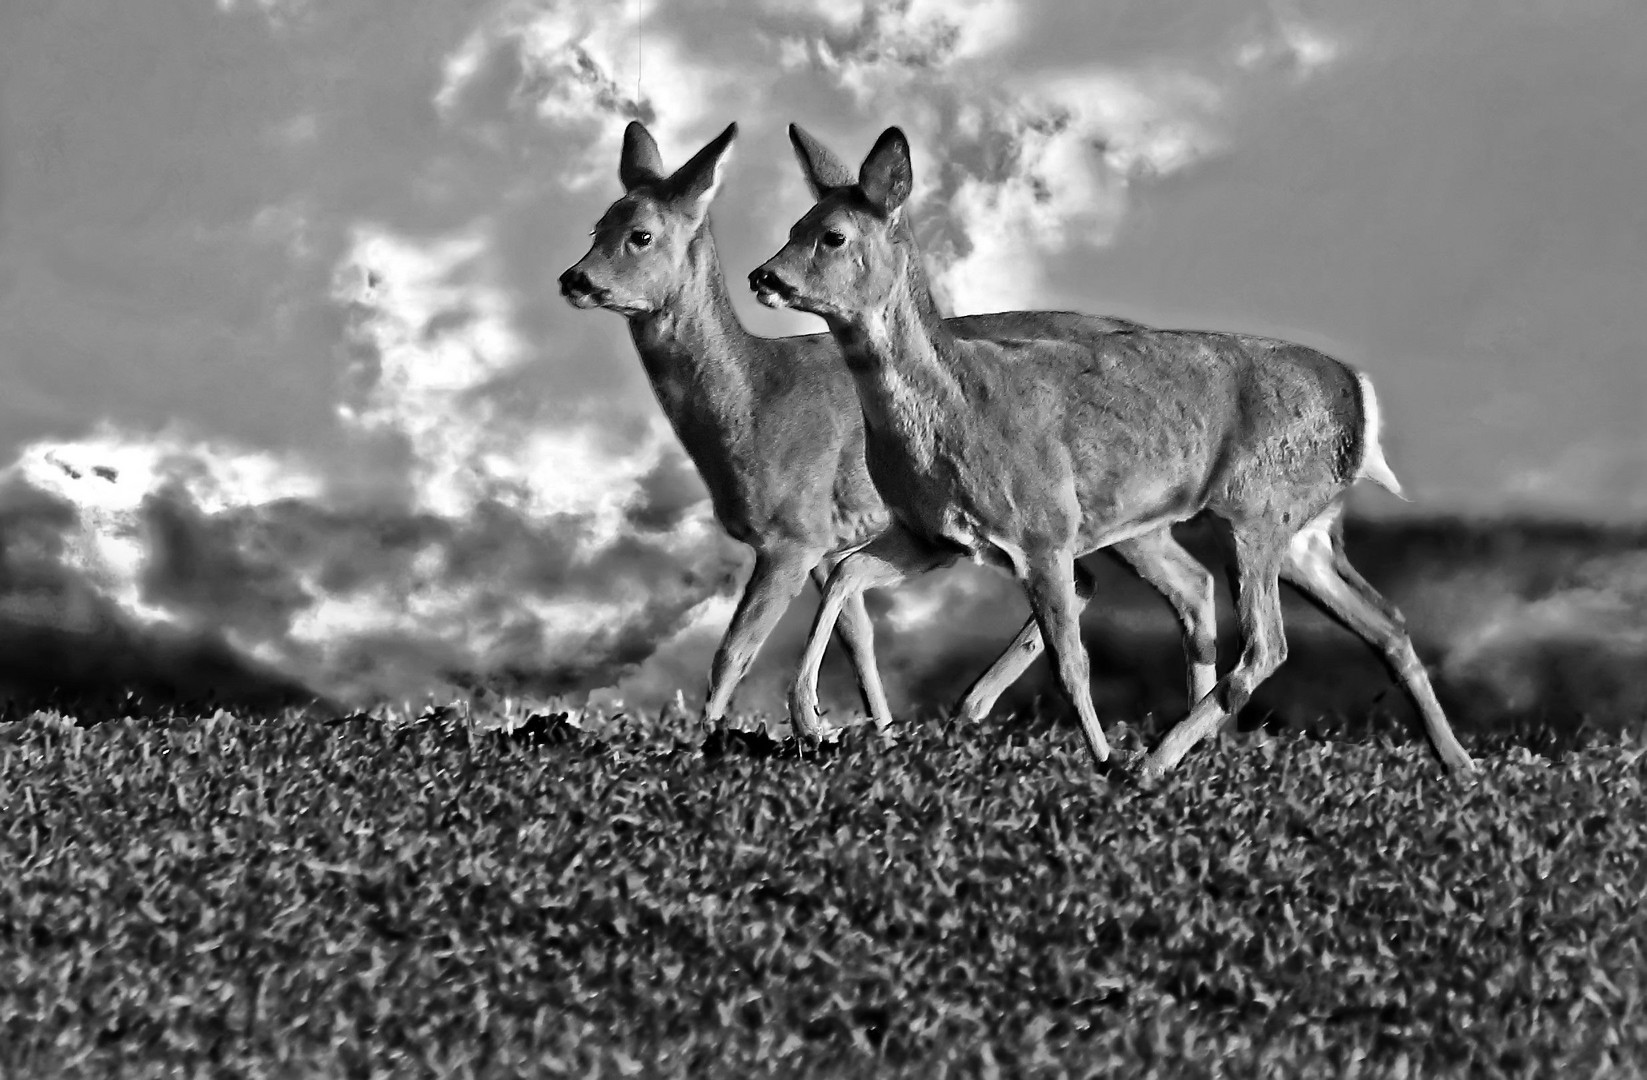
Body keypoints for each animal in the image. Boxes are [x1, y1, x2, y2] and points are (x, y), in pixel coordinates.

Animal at [559, 122, 1231, 737]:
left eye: (641, 235)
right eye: (596, 227)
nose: (574, 280)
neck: (751, 403)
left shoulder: (792, 534)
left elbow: (734, 650)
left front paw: (711, 743)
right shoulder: (831, 543)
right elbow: (858, 636)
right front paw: (860, 729)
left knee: (1185, 584)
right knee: (1138, 583)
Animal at [751, 124, 1482, 777]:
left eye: (832, 235)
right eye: (794, 223)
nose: (763, 276)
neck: (953, 410)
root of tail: (1359, 396)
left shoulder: (1042, 526)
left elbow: (1071, 659)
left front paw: (1101, 756)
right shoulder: (933, 536)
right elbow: (845, 574)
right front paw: (807, 718)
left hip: (1257, 509)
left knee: (1267, 645)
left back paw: (1151, 762)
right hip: (1305, 531)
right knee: (1386, 622)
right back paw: (1457, 764)